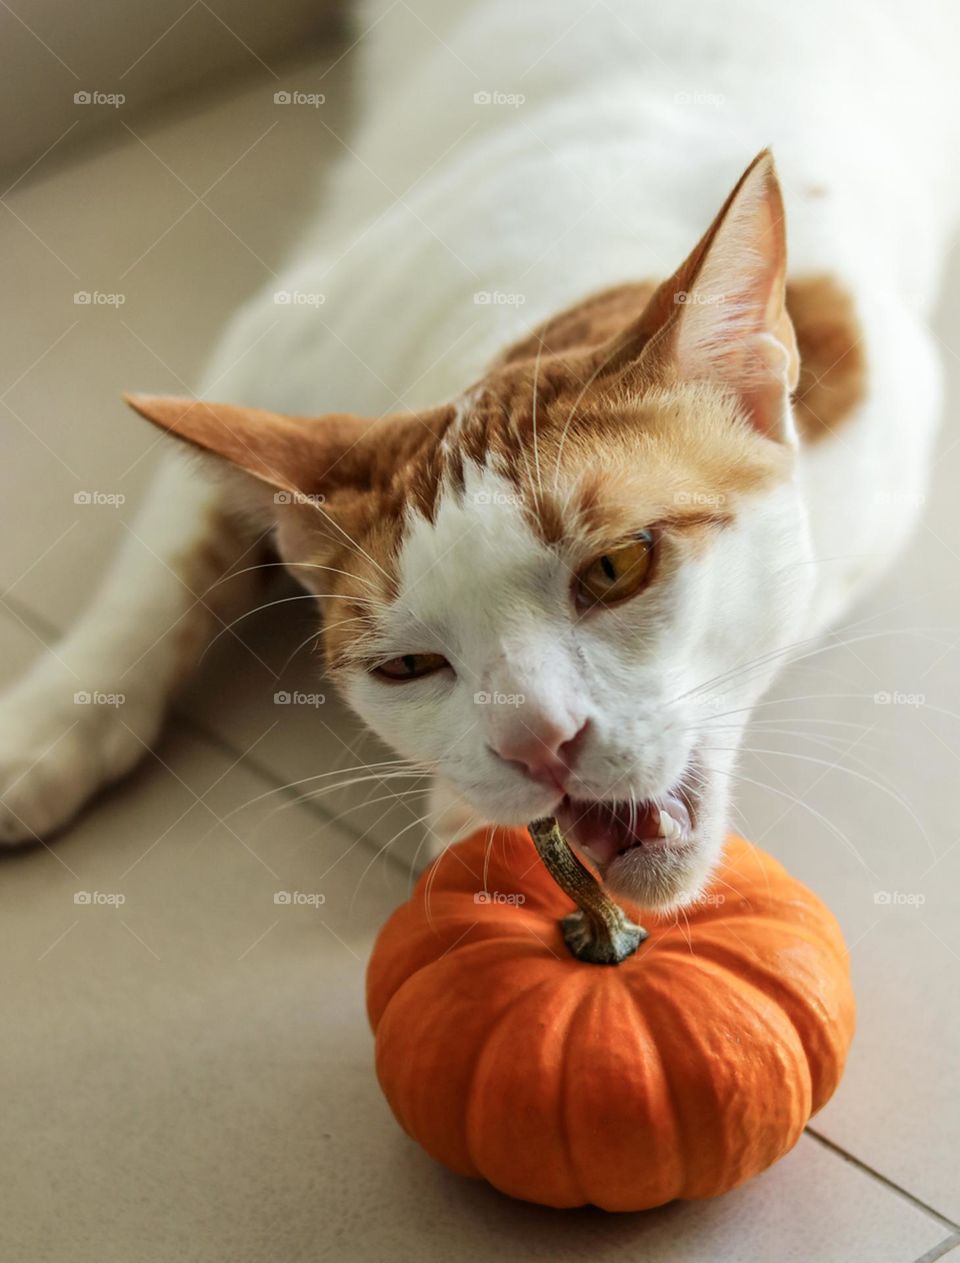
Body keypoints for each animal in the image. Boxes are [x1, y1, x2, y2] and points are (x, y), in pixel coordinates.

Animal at [1, 0, 959, 909]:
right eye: (406, 668)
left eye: (618, 566)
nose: (537, 744)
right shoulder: (281, 333)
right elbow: (161, 572)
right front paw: (53, 720)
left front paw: (463, 814)